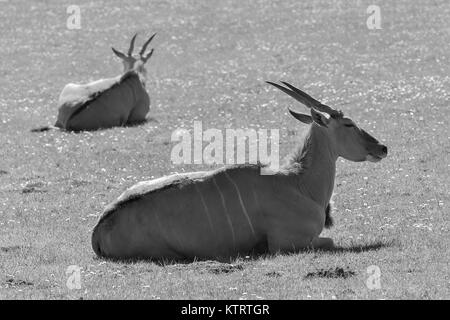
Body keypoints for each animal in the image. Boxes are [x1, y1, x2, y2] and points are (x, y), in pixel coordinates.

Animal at [90, 81, 386, 262]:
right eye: (348, 124)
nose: (382, 147)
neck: (298, 183)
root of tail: (100, 226)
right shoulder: (289, 244)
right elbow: (332, 241)